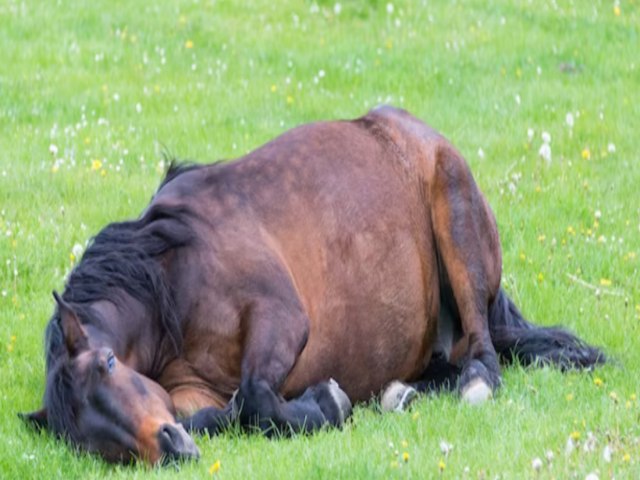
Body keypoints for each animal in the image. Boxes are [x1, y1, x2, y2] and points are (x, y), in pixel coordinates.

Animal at [20, 107, 604, 464]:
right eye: (96, 446)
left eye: (109, 362)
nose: (170, 446)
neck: (171, 277)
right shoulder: (187, 391)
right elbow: (227, 411)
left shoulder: (280, 317)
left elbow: (257, 397)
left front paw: (326, 402)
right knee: (445, 362)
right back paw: (398, 393)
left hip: (456, 216)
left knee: (481, 353)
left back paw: (470, 382)